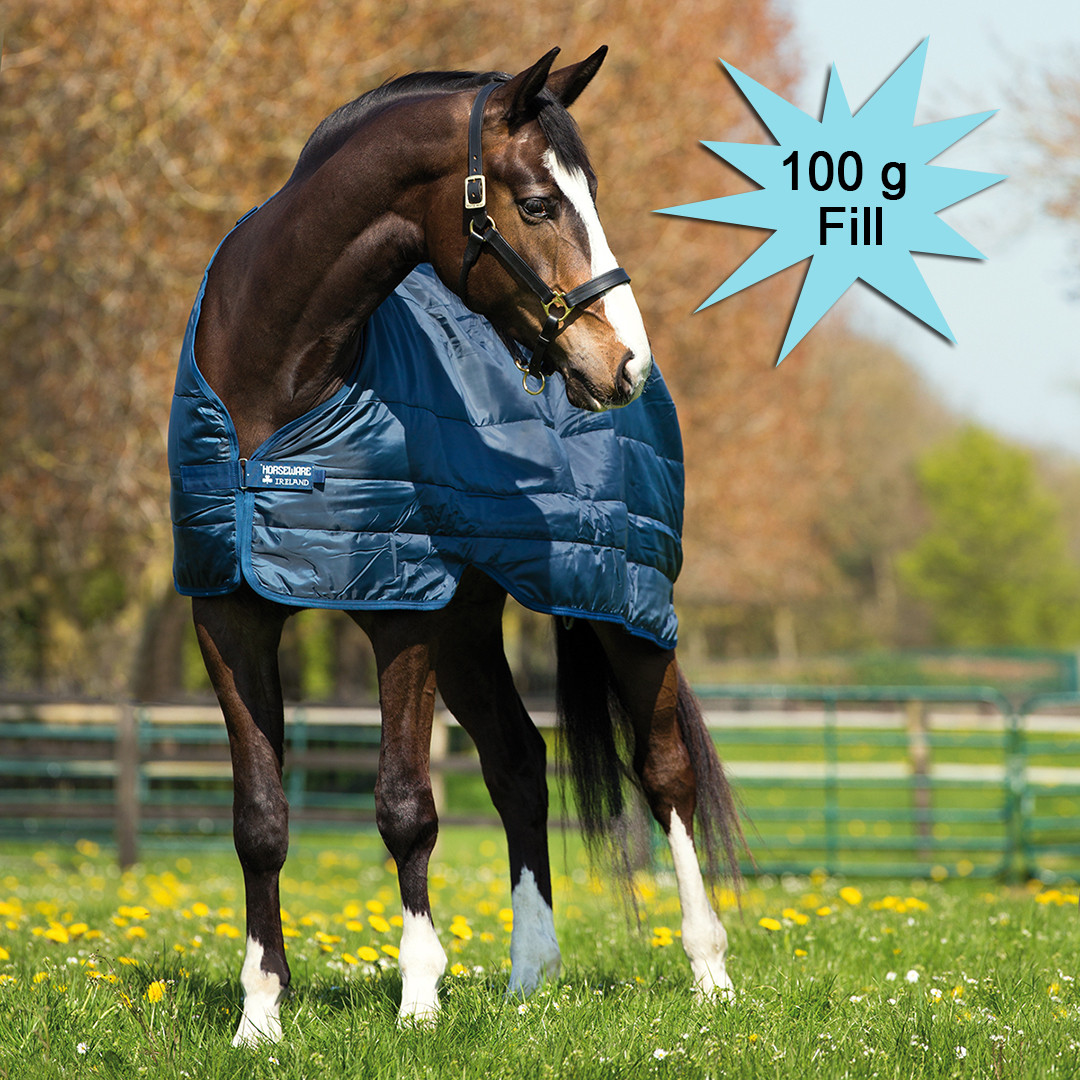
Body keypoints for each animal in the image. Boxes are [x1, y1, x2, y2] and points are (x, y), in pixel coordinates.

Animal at [176, 47, 744, 1047]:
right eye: (539, 204)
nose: (624, 363)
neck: (275, 389)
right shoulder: (230, 612)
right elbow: (260, 818)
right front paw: (260, 1016)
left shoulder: (400, 612)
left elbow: (406, 806)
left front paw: (418, 1002)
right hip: (472, 629)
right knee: (519, 765)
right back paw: (530, 978)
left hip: (623, 602)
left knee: (665, 771)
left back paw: (708, 973)